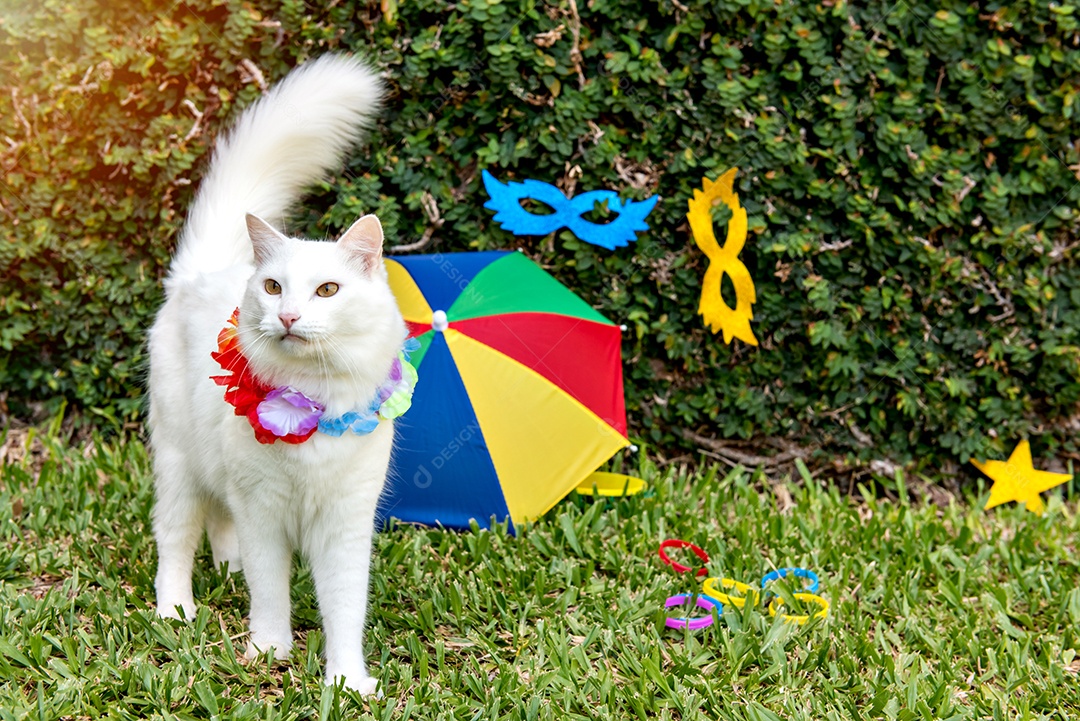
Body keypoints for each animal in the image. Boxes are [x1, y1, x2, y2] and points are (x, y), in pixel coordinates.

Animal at [143, 53, 397, 695]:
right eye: (275, 286)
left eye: (327, 290)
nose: (286, 316)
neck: (311, 397)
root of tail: (201, 271)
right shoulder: (263, 512)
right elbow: (270, 594)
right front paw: (267, 652)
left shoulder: (345, 525)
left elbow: (344, 609)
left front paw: (346, 681)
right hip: (179, 466)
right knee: (176, 542)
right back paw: (176, 611)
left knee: (218, 525)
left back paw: (226, 570)